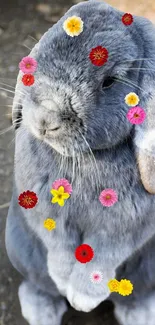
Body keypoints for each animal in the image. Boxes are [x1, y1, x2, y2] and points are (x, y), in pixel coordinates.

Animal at [4, 0, 155, 324]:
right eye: (37, 59)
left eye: (109, 82)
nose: (45, 120)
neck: (84, 158)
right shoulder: (47, 214)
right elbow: (59, 246)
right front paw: (65, 283)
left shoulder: (125, 228)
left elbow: (103, 255)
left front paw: (83, 299)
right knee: (37, 284)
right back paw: (42, 311)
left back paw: (140, 314)